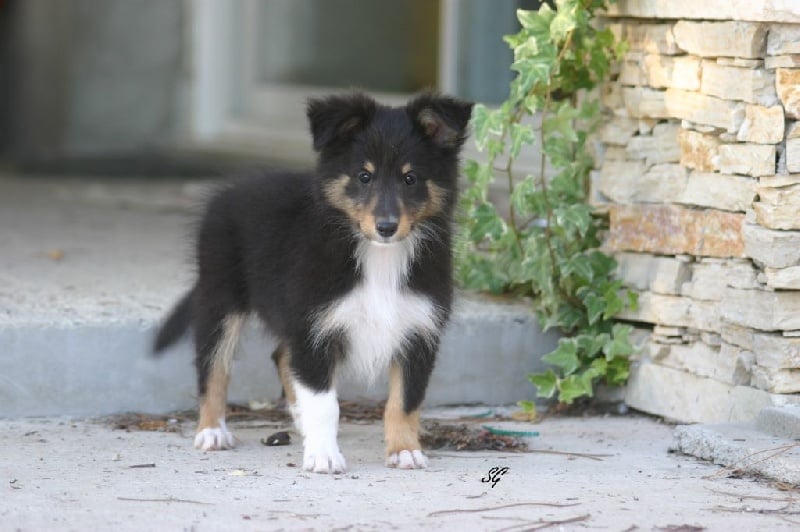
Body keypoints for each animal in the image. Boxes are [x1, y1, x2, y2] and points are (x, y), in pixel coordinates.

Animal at [153, 92, 473, 473]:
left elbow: (405, 401)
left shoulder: (418, 331)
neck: (379, 257)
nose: (386, 227)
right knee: (212, 366)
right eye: (364, 176)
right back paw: (212, 431)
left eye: (411, 179)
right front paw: (323, 455)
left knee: (280, 355)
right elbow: (324, 403)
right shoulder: (314, 327)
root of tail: (227, 193)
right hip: (219, 298)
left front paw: (405, 450)